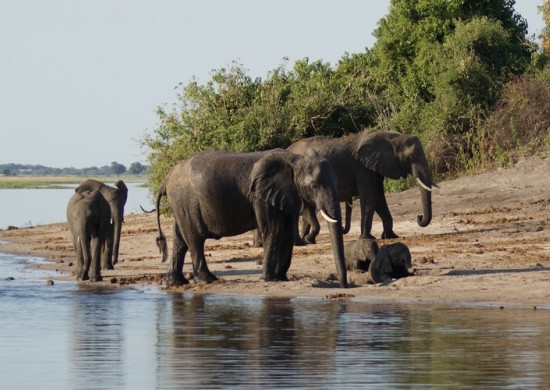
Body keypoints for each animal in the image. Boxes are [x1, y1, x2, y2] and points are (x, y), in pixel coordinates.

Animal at [154, 149, 350, 290]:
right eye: (314, 186)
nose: (344, 286)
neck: (294, 160)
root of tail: (167, 177)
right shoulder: (261, 196)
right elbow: (273, 229)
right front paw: (269, 279)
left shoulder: (285, 194)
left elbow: (286, 233)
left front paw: (281, 278)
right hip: (186, 200)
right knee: (195, 238)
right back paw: (209, 279)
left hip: (181, 203)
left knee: (180, 239)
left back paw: (176, 283)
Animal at [288, 129, 436, 242]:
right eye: (412, 158)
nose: (419, 217)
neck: (391, 137)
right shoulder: (362, 168)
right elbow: (370, 197)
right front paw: (367, 238)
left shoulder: (375, 168)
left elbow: (379, 199)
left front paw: (391, 236)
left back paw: (307, 240)